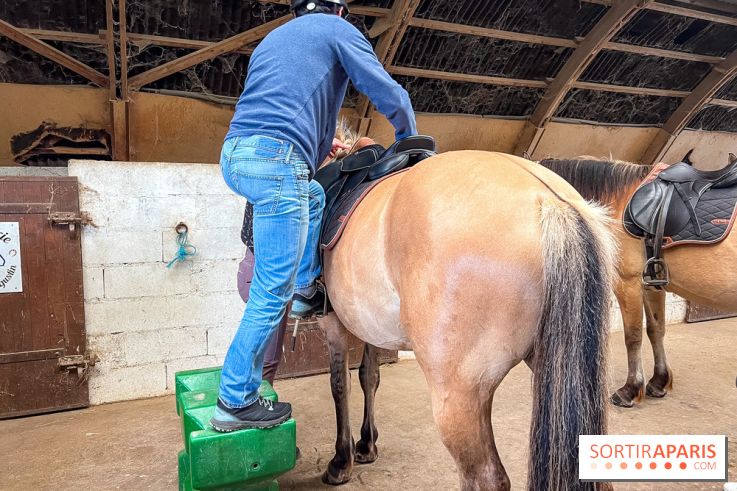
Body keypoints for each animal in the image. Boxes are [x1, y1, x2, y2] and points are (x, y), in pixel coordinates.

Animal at [315, 142, 617, 490]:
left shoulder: (333, 323)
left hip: (458, 398)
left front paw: (341, 461)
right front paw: (366, 444)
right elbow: (369, 377)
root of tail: (550, 202)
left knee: (485, 477)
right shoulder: (371, 327)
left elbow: (340, 384)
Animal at [538, 154, 737, 409]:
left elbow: (633, 336)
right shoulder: (652, 282)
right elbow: (656, 329)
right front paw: (659, 381)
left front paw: (630, 389)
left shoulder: (628, 283)